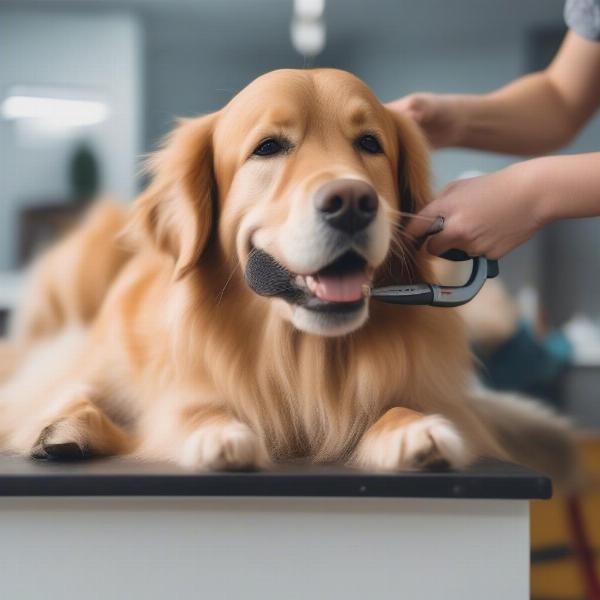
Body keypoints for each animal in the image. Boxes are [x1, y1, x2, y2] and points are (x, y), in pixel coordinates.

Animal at [0, 69, 576, 478]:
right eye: (269, 147)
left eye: (370, 143)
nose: (351, 203)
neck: (297, 356)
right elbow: (173, 408)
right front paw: (216, 432)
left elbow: (405, 409)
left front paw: (415, 431)